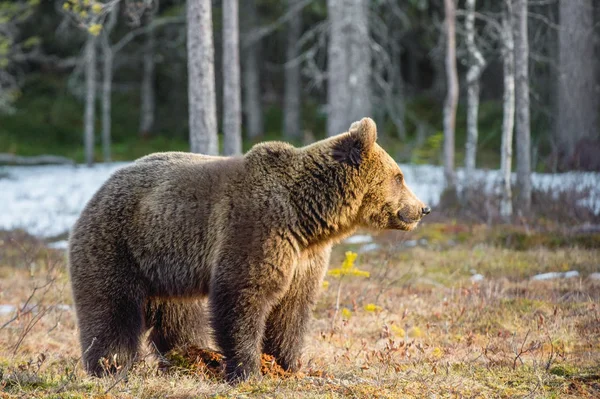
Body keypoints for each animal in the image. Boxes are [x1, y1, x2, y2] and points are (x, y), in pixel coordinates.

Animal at [68, 117, 428, 382]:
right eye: (399, 176)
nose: (422, 209)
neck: (306, 216)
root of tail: (99, 189)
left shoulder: (303, 257)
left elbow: (292, 311)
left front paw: (287, 365)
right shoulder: (258, 228)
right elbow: (243, 296)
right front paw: (247, 370)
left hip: (166, 264)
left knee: (178, 317)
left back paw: (188, 356)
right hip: (118, 245)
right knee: (111, 309)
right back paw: (110, 366)